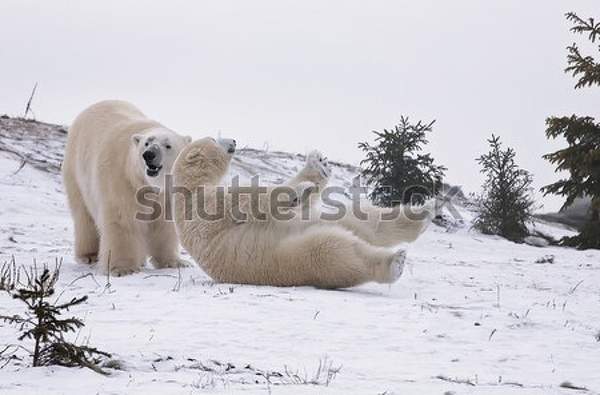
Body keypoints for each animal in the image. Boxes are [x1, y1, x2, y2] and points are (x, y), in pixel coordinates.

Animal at [63, 100, 190, 276]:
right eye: (147, 143)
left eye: (168, 145)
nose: (148, 154)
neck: (147, 183)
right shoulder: (121, 179)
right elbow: (123, 219)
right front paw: (123, 268)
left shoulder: (168, 192)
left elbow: (164, 225)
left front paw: (175, 262)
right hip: (76, 172)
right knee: (84, 216)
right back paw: (89, 255)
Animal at [171, 138, 438, 290]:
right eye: (214, 139)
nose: (233, 140)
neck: (188, 188)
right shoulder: (201, 206)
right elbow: (247, 199)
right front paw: (297, 191)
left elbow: (301, 202)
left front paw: (318, 165)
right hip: (292, 257)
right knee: (335, 251)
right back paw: (394, 263)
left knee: (363, 222)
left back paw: (422, 215)